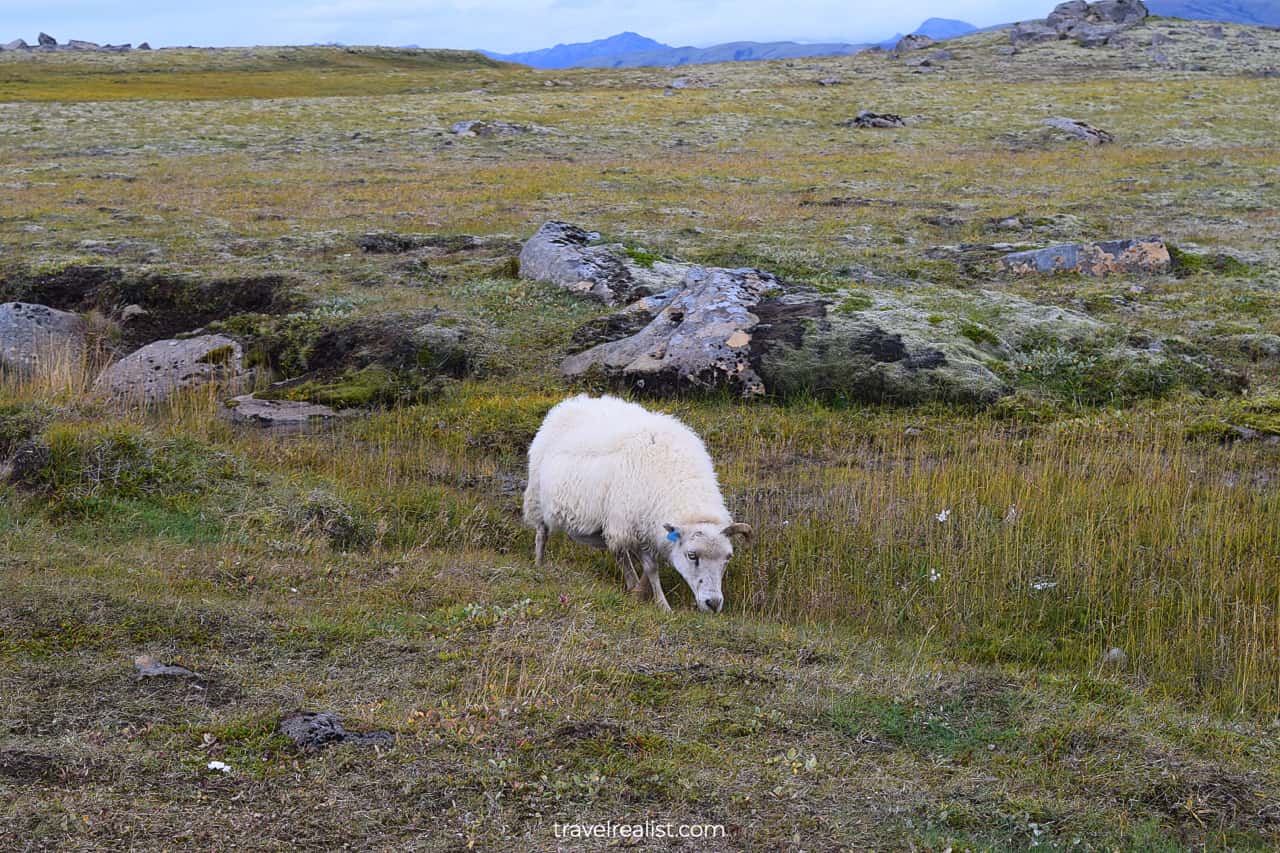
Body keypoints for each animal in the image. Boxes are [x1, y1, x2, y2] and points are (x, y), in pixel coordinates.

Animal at [524, 391, 752, 612]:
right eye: (692, 555)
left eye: (727, 557)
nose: (713, 603)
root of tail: (568, 404)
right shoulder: (633, 524)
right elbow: (651, 568)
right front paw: (662, 605)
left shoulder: (649, 527)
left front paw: (641, 592)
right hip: (537, 498)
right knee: (542, 534)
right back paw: (539, 564)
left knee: (618, 552)